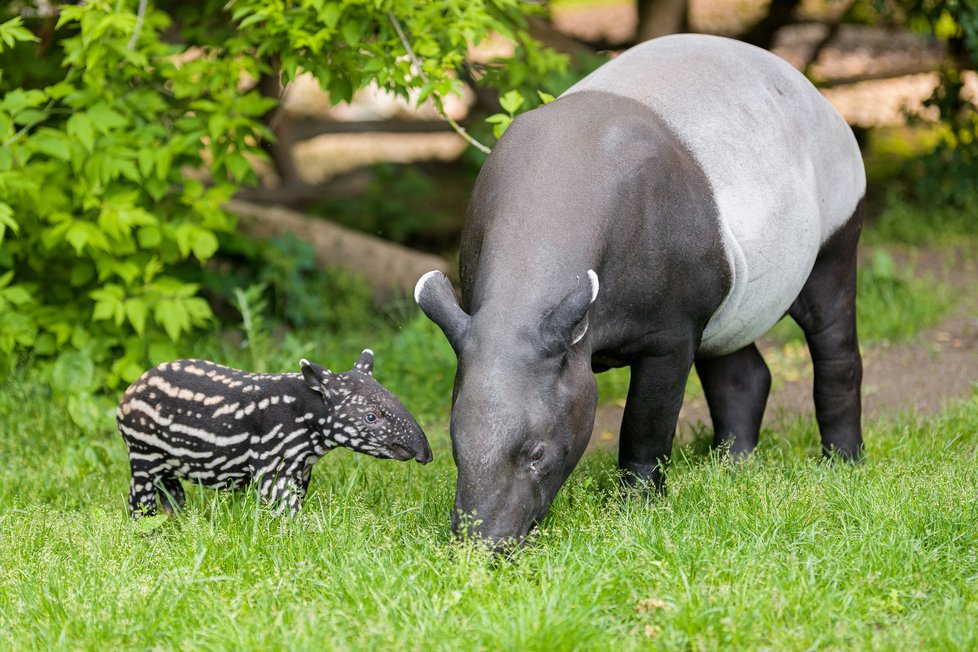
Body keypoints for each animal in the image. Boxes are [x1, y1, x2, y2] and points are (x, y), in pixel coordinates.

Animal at [116, 352, 428, 520]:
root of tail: (129, 393)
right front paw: (304, 534)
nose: (424, 453)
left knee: (172, 492)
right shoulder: (272, 464)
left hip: (168, 459)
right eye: (371, 417)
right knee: (140, 499)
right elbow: (286, 506)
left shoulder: (302, 470)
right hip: (143, 451)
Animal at [412, 33, 860, 548]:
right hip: (727, 292)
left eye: (537, 453)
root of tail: (813, 91)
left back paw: (842, 464)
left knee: (833, 340)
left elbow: (647, 424)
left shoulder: (672, 332)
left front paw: (638, 509)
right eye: (455, 446)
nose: (484, 545)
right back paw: (732, 467)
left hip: (836, 222)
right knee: (740, 370)